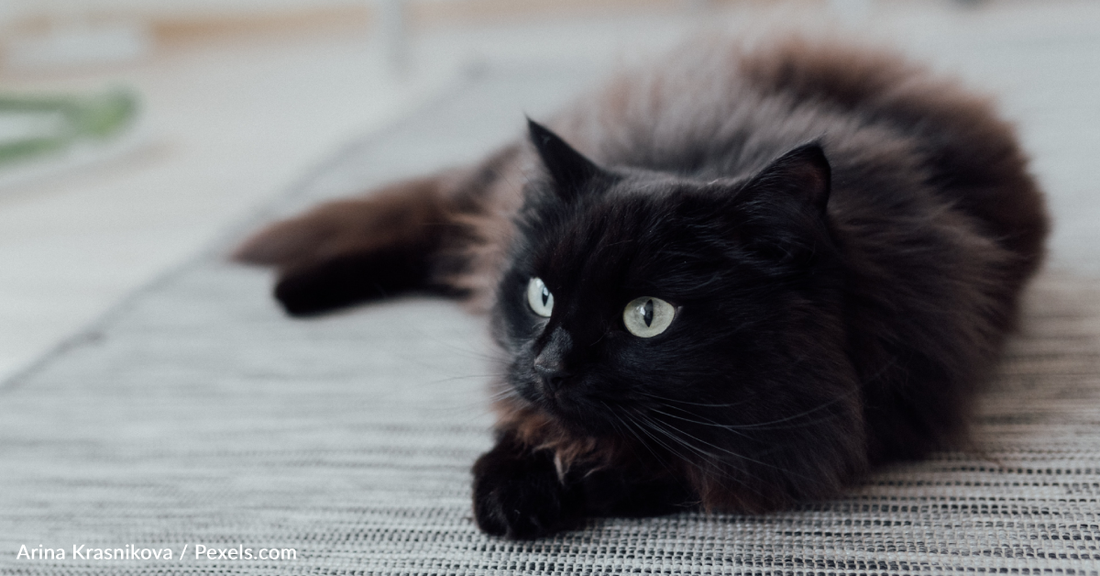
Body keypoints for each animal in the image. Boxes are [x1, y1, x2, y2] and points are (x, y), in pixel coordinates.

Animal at [238, 38, 1047, 538]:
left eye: (647, 317)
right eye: (541, 297)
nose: (551, 364)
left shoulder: (865, 414)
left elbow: (692, 465)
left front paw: (586, 485)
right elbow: (523, 423)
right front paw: (512, 492)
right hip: (473, 207)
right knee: (432, 229)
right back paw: (290, 291)